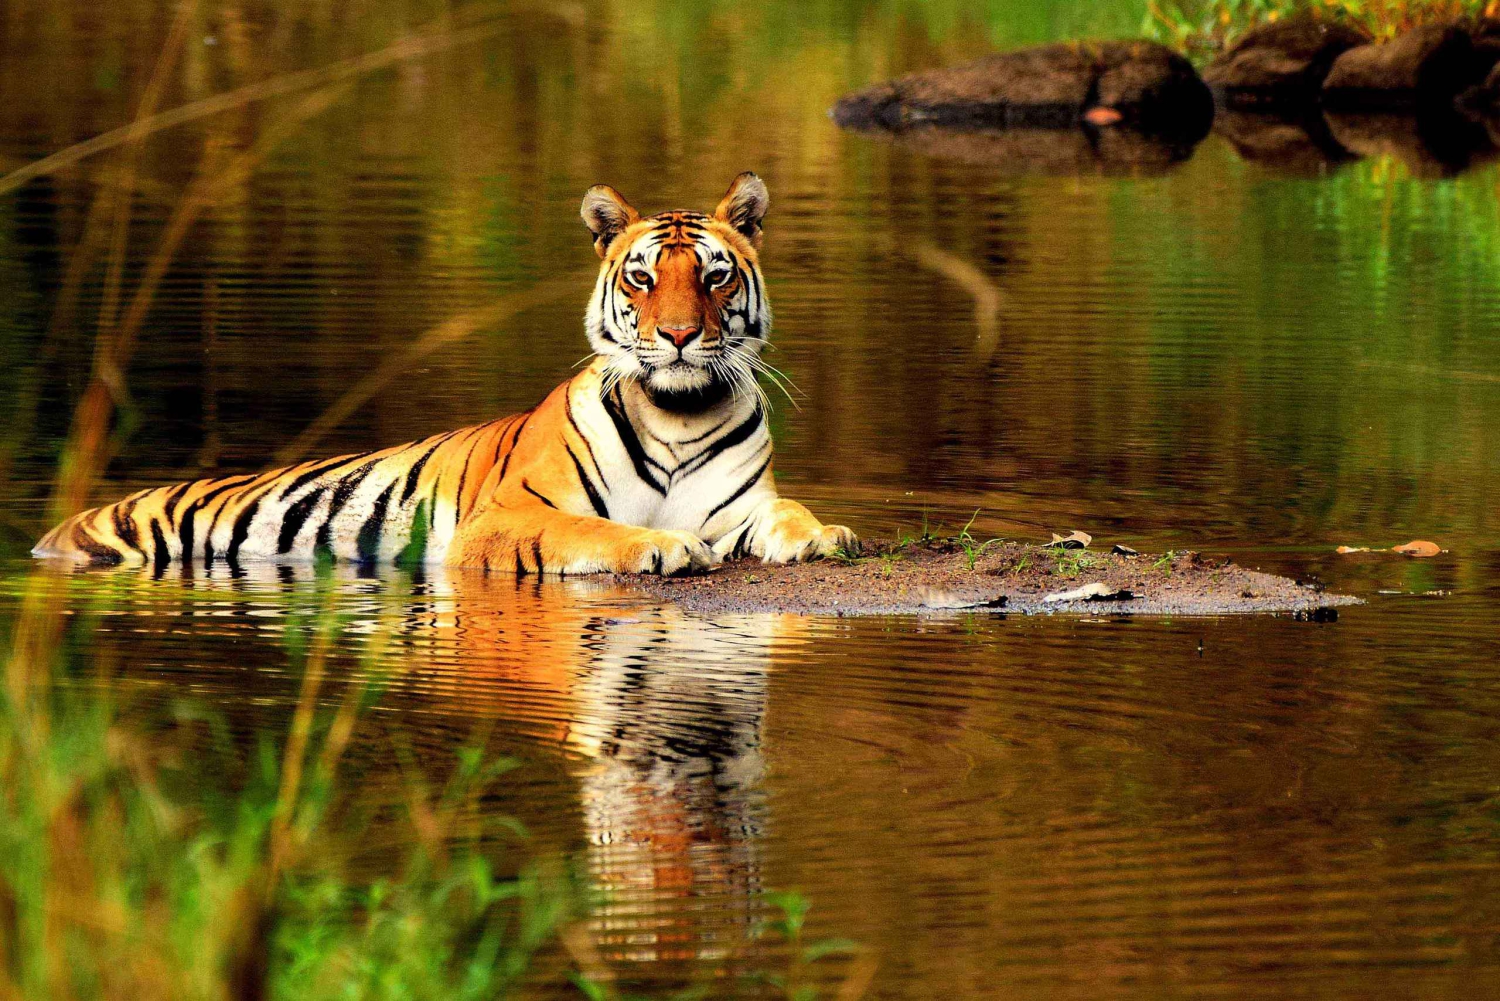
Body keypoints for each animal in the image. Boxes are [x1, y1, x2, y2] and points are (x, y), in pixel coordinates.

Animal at [33, 173, 857, 576]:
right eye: (642, 279)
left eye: (715, 277)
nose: (680, 335)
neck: (678, 413)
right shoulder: (506, 519)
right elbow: (591, 529)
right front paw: (663, 546)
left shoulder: (741, 505)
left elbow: (788, 512)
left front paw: (827, 534)